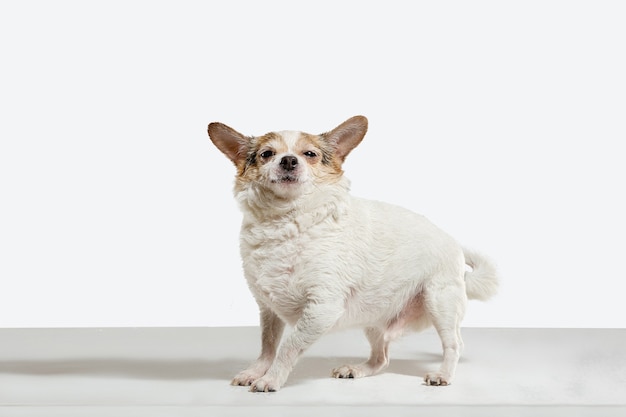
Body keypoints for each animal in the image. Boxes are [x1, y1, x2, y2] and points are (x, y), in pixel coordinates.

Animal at [207, 115, 494, 392]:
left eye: (309, 154)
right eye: (267, 154)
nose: (288, 160)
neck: (285, 222)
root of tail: (453, 243)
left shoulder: (321, 308)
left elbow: (288, 347)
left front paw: (272, 379)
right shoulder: (269, 310)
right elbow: (267, 345)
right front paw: (255, 372)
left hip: (440, 302)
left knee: (454, 344)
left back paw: (443, 375)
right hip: (375, 319)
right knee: (381, 358)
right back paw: (358, 369)